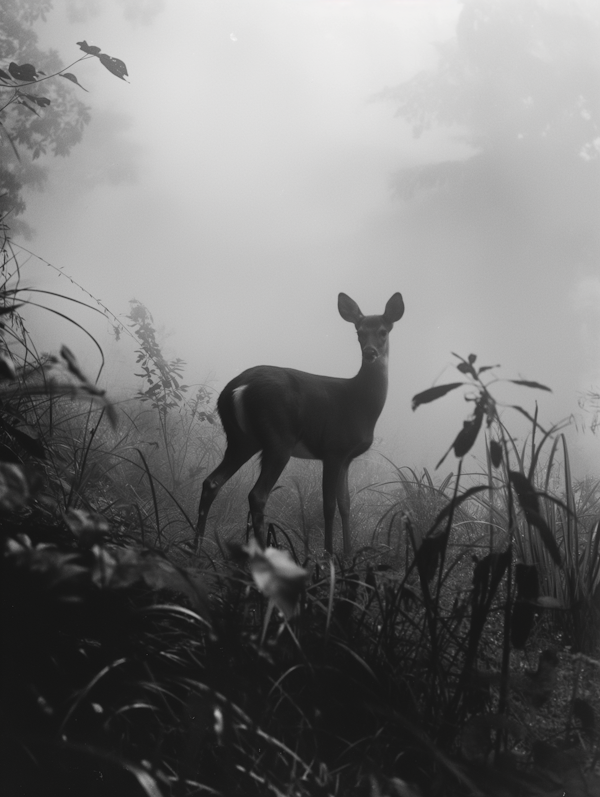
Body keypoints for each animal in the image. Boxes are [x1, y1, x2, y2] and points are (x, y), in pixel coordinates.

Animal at [195, 292, 406, 552]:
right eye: (359, 332)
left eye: (383, 331)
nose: (370, 352)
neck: (359, 403)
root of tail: (238, 388)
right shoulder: (333, 449)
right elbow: (329, 505)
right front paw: (329, 554)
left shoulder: (346, 457)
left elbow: (346, 504)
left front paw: (348, 554)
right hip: (278, 439)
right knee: (257, 494)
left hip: (241, 439)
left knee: (211, 482)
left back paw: (197, 547)